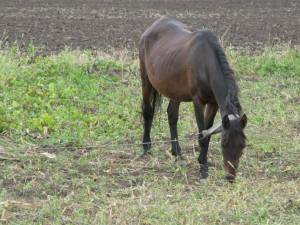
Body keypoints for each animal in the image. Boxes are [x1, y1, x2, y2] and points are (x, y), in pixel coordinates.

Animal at [138, 16, 246, 181]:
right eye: (223, 144)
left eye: (242, 145)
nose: (230, 177)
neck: (206, 64)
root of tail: (151, 28)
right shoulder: (198, 102)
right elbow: (202, 134)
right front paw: (203, 169)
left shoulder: (213, 103)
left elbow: (207, 133)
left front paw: (202, 161)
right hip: (146, 80)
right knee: (148, 111)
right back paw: (146, 146)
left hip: (174, 90)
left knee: (172, 115)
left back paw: (177, 152)